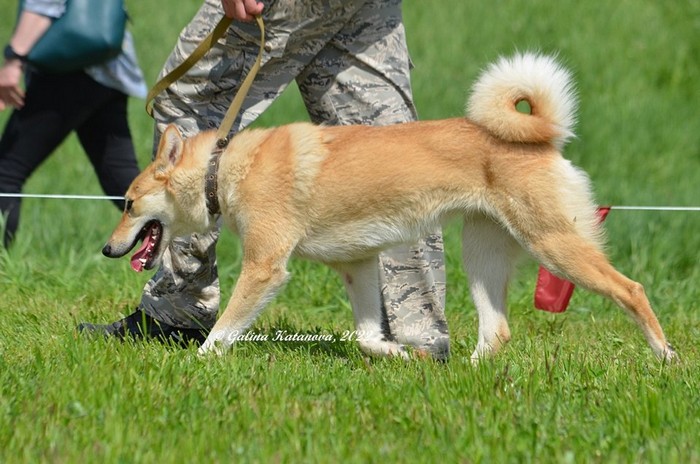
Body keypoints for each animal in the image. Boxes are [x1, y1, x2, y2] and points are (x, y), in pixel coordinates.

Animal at [102, 53, 676, 362]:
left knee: (632, 290)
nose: (107, 249)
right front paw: (401, 354)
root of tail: (541, 138)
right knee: (497, 331)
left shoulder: (266, 267)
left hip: (555, 245)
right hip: (482, 253)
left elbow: (223, 331)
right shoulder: (357, 265)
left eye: (128, 203)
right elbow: (366, 338)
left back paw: (665, 358)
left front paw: (198, 363)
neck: (225, 168)